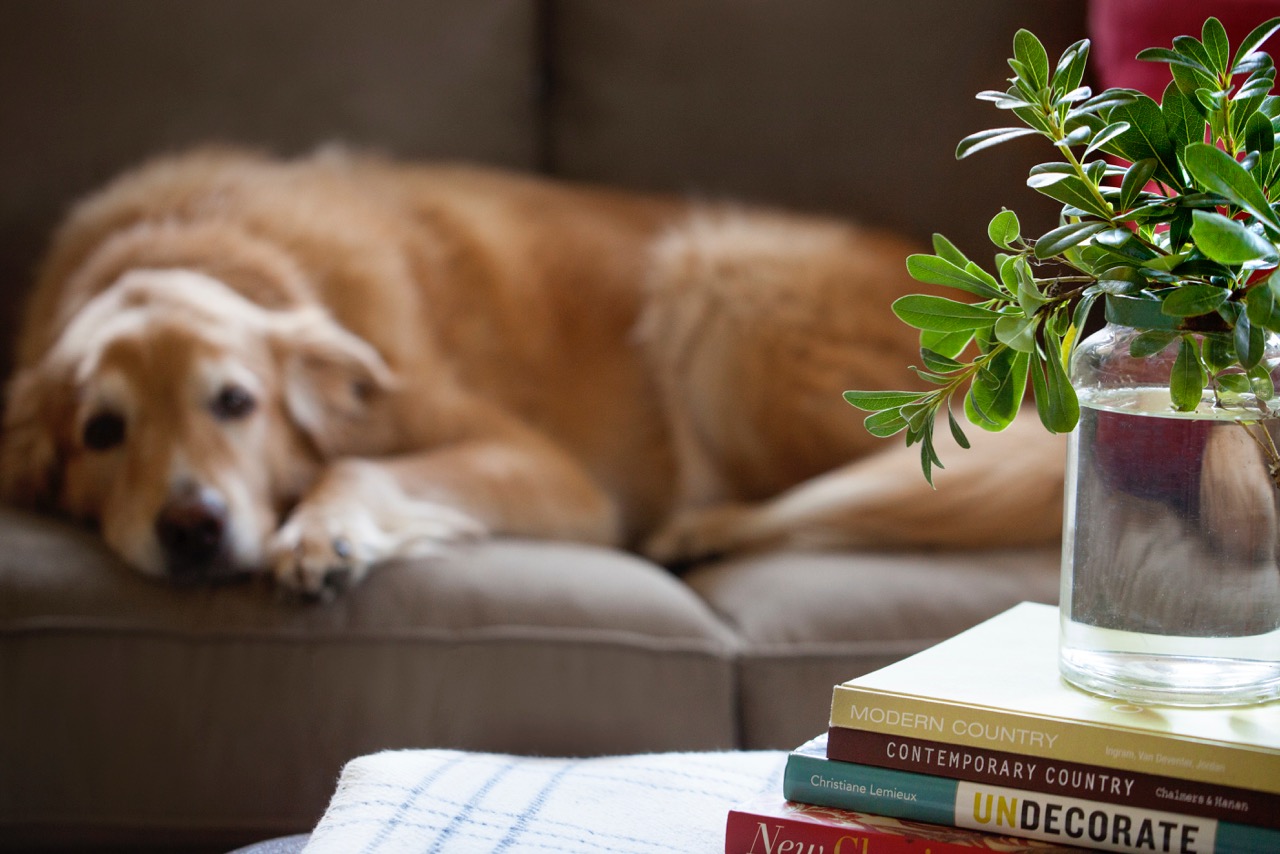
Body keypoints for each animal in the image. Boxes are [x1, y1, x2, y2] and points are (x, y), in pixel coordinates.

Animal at [0, 147, 1059, 599]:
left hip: (715, 274)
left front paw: (324, 535)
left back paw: (703, 530)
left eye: (235, 402)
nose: (192, 528)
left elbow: (360, 463)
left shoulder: (552, 474)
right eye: (102, 431)